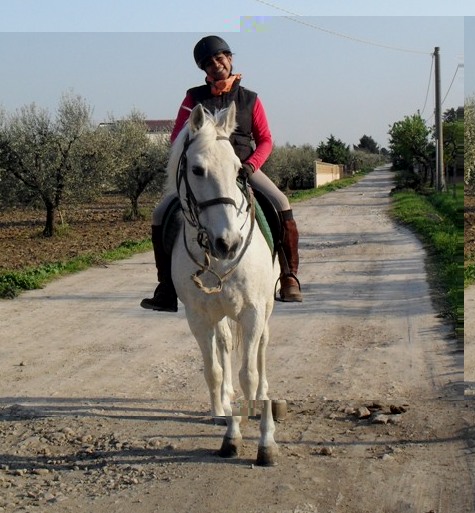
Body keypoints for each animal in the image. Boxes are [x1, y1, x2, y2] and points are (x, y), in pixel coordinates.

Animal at [167, 103, 278, 464]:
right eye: (197, 170)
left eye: (238, 170)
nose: (227, 243)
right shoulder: (198, 316)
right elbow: (213, 368)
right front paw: (224, 418)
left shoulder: (253, 311)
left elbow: (249, 371)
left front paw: (260, 433)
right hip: (219, 311)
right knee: (226, 344)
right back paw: (226, 401)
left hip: (267, 306)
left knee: (261, 347)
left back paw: (260, 396)